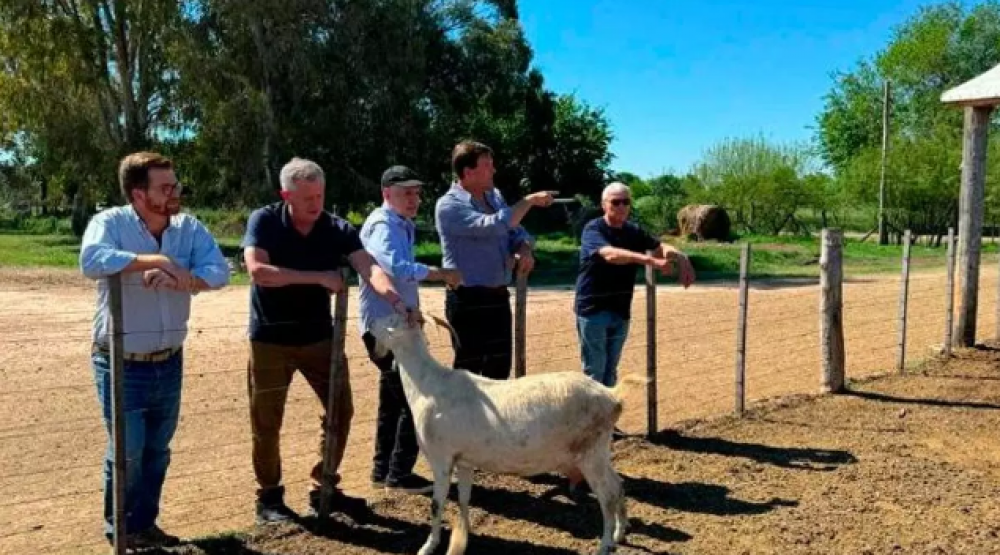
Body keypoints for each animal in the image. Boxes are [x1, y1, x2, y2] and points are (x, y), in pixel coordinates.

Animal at [366, 312, 640, 555]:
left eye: (391, 319)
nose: (369, 326)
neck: (427, 385)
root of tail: (612, 396)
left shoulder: (441, 459)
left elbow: (436, 505)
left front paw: (428, 547)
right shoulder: (464, 460)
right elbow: (464, 498)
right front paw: (464, 535)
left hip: (589, 453)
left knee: (607, 496)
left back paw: (605, 545)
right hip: (600, 450)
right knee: (618, 485)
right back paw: (620, 533)